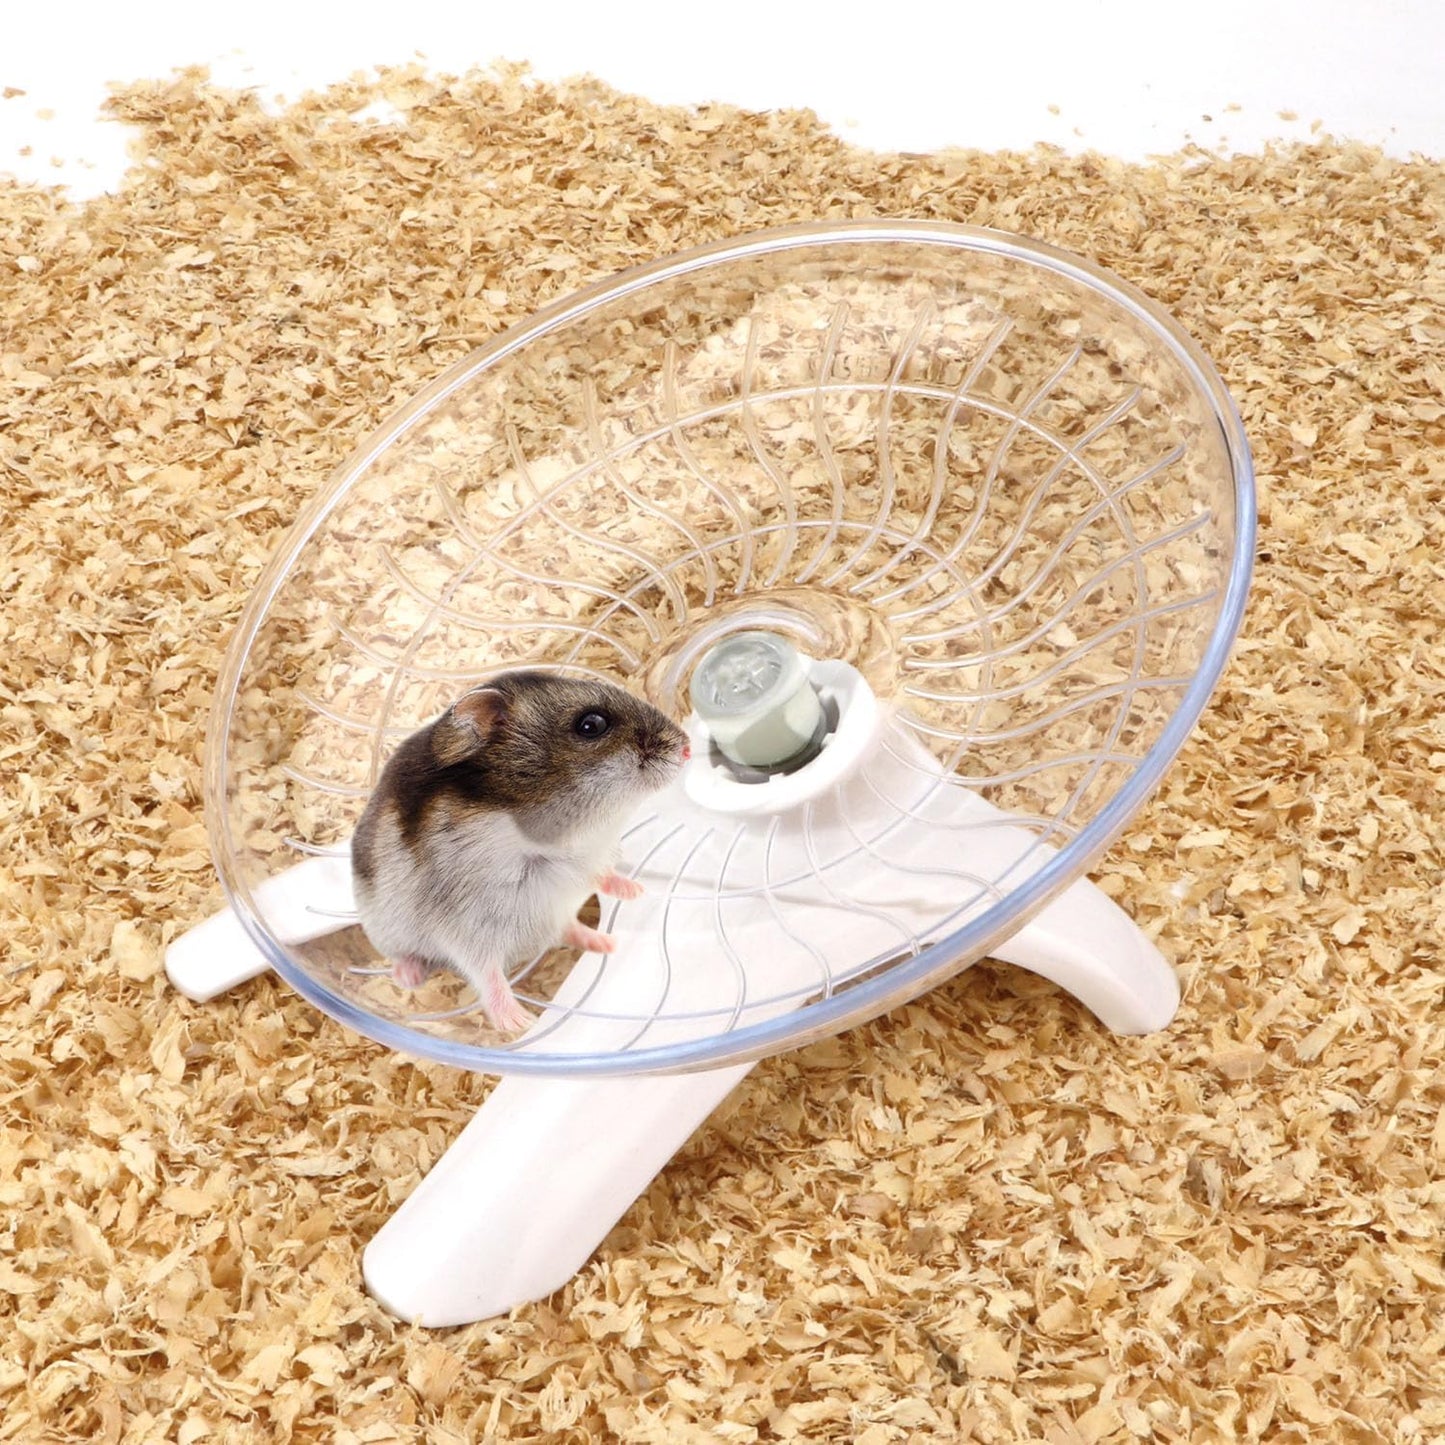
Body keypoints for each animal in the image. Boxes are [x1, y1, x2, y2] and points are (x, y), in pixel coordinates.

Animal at [350, 670, 690, 1034]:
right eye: (591, 724)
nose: (687, 748)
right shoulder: (465, 928)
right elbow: (487, 975)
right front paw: (519, 1024)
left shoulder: (586, 862)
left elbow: (602, 875)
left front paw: (636, 891)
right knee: (408, 955)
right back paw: (409, 977)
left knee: (569, 928)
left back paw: (607, 942)